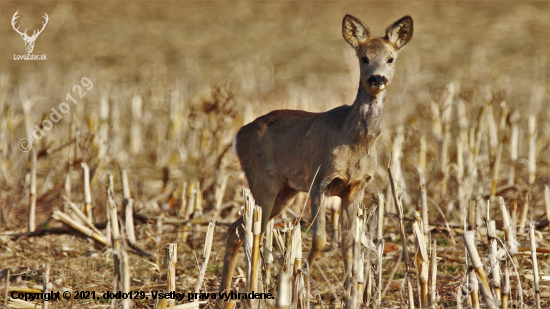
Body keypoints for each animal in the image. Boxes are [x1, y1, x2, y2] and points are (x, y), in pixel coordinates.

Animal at [219, 14, 414, 306]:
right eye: (364, 57)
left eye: (390, 58)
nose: (377, 78)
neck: (353, 141)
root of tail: (237, 135)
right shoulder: (319, 182)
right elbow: (320, 239)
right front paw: (298, 283)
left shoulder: (355, 188)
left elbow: (349, 242)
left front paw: (351, 293)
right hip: (263, 181)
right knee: (252, 232)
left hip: (284, 190)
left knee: (237, 230)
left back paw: (226, 296)